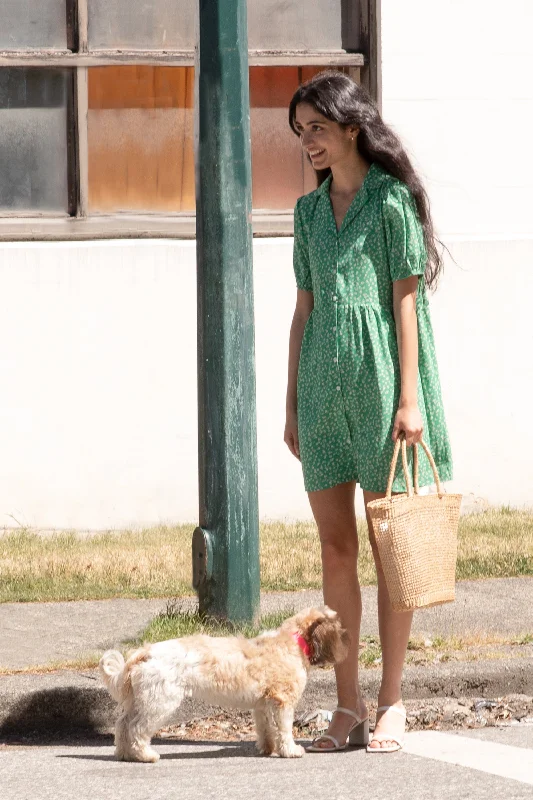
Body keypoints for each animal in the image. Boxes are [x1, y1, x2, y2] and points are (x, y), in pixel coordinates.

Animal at [100, 608, 350, 764]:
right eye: (338, 626)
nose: (348, 638)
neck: (291, 642)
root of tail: (145, 651)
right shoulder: (282, 702)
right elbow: (284, 729)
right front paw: (290, 750)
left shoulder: (262, 705)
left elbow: (266, 728)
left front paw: (268, 748)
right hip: (158, 702)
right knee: (136, 729)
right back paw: (145, 755)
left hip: (141, 700)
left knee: (123, 725)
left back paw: (124, 754)